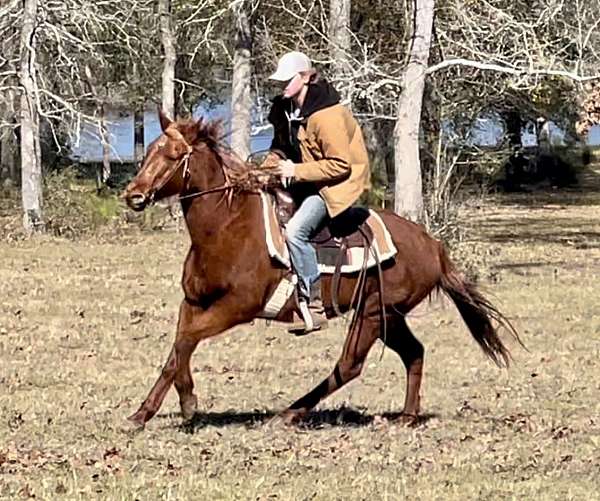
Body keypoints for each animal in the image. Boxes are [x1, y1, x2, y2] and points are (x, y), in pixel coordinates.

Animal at [122, 111, 520, 428]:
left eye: (173, 154)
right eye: (151, 149)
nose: (133, 195)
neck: (227, 228)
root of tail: (433, 247)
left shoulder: (237, 308)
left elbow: (186, 341)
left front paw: (187, 404)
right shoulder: (193, 302)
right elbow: (177, 349)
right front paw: (144, 413)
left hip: (373, 313)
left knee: (349, 365)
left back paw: (290, 413)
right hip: (388, 316)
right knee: (413, 352)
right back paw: (407, 416)